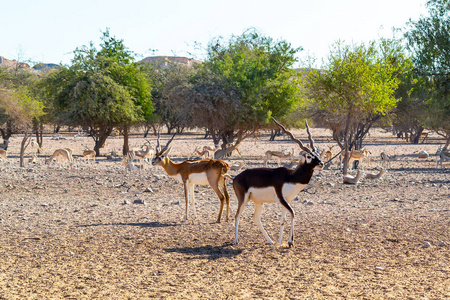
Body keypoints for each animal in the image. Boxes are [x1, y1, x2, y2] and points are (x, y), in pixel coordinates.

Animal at [232, 118, 324, 247]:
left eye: (318, 154)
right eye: (309, 156)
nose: (322, 164)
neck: (291, 177)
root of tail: (235, 178)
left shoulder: (287, 200)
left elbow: (282, 220)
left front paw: (280, 242)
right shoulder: (280, 198)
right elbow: (293, 213)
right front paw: (290, 241)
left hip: (258, 202)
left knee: (256, 218)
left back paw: (270, 241)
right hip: (243, 199)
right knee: (237, 216)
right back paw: (236, 241)